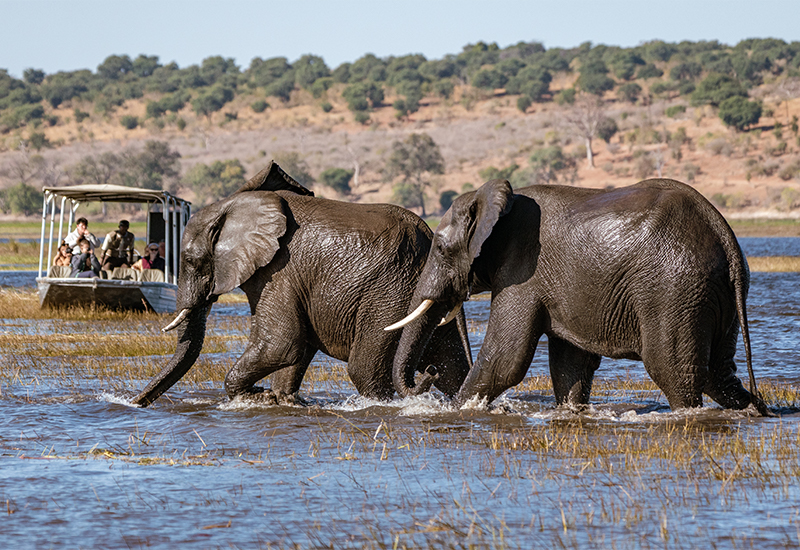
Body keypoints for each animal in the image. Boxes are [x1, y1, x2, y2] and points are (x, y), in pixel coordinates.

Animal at [130, 162, 468, 408]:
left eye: (189, 260)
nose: (136, 403)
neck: (235, 204)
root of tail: (430, 233)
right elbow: (297, 345)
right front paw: (281, 400)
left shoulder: (278, 271)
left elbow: (282, 342)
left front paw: (256, 396)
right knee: (451, 367)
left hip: (391, 292)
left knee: (365, 370)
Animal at [390, 179, 776, 416]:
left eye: (441, 249)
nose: (429, 372)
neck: (495, 200)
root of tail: (723, 231)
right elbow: (570, 363)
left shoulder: (521, 269)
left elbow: (505, 357)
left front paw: (458, 410)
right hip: (714, 293)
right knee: (719, 374)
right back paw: (754, 410)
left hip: (674, 290)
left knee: (673, 370)